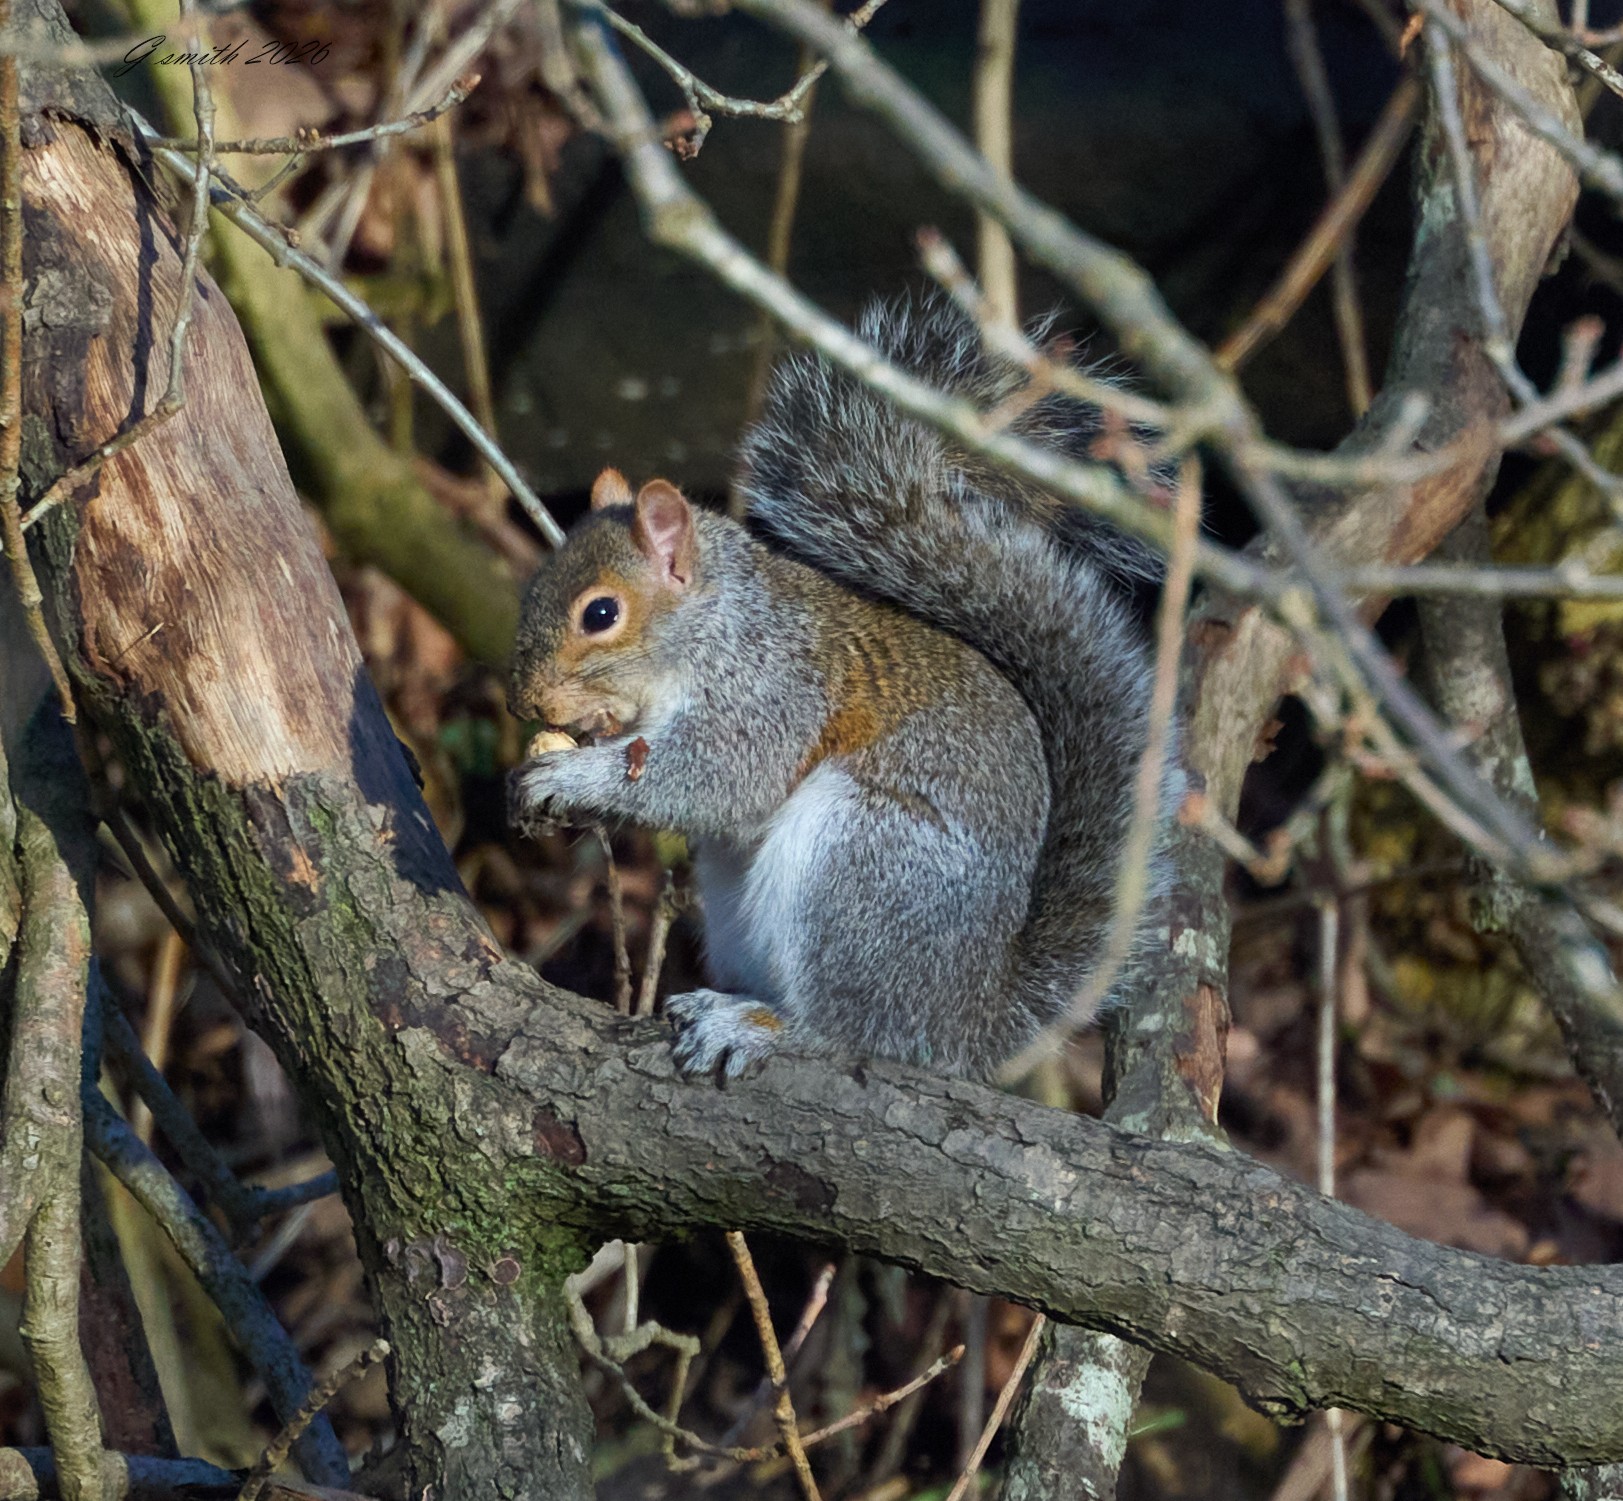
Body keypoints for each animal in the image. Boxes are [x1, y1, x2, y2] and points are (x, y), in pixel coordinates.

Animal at [508, 295, 1176, 1080]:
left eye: (601, 613)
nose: (526, 701)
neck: (713, 623)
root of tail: (965, 1023)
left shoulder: (771, 688)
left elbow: (723, 775)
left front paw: (571, 775)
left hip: (858, 864)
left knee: (854, 1031)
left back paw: (761, 1026)